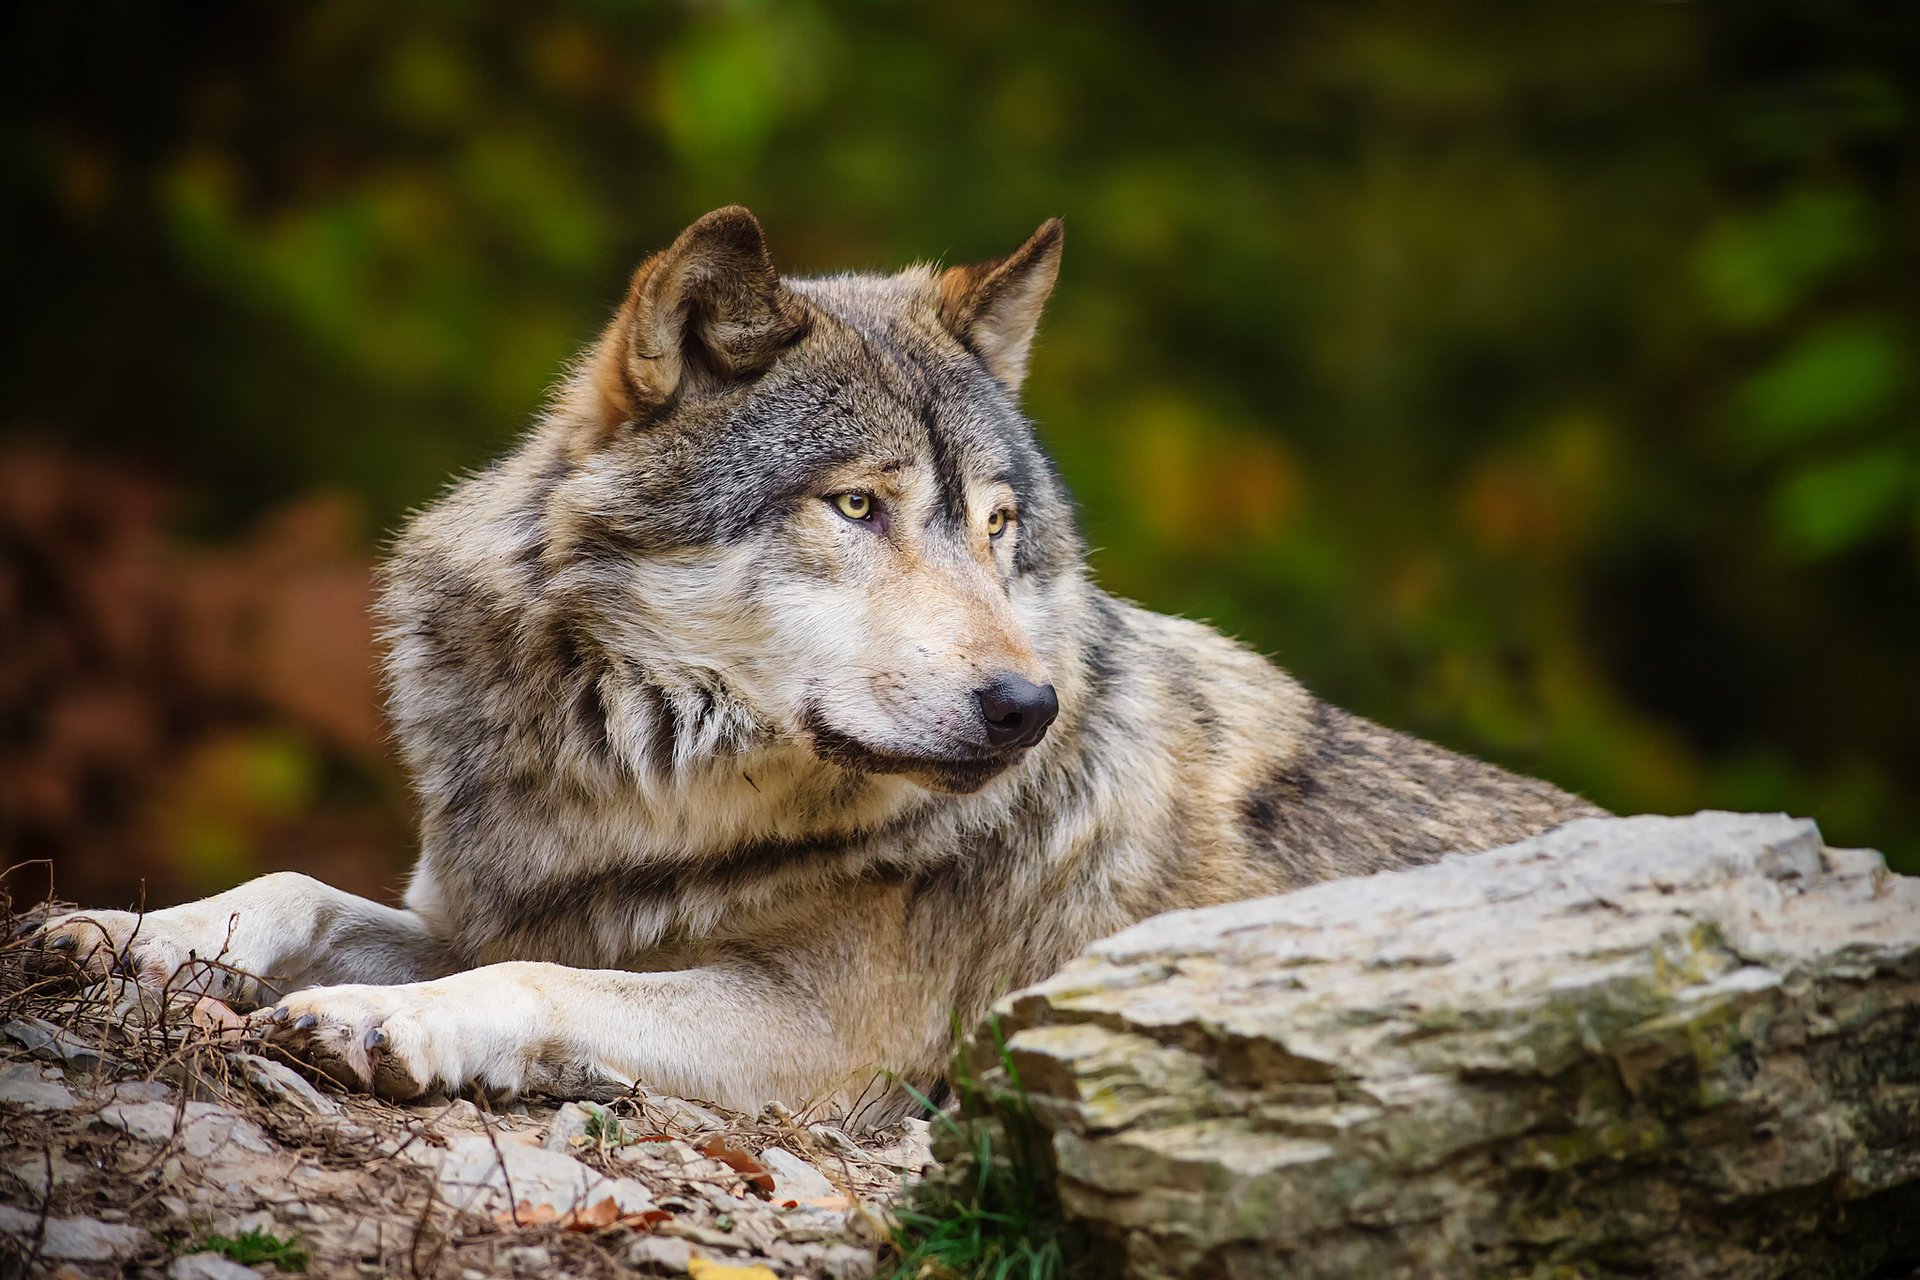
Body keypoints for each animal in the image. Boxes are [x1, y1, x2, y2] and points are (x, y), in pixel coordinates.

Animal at [39, 208, 1602, 1124]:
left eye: (997, 528)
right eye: (857, 507)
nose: (1026, 706)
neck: (641, 791)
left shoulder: (824, 1040)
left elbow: (539, 986)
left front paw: (384, 1020)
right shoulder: (499, 904)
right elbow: (296, 887)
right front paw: (125, 930)